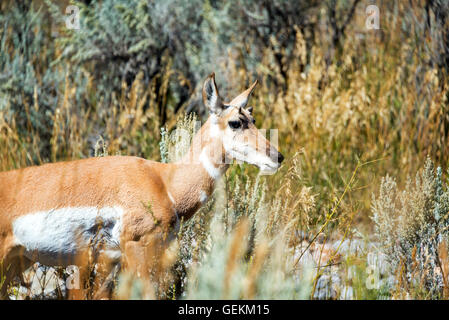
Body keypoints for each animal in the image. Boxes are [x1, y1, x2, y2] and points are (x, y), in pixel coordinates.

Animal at [0, 72, 284, 298]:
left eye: (253, 120)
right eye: (235, 122)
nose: (278, 157)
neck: (163, 182)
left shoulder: (113, 260)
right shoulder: (137, 249)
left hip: (18, 260)